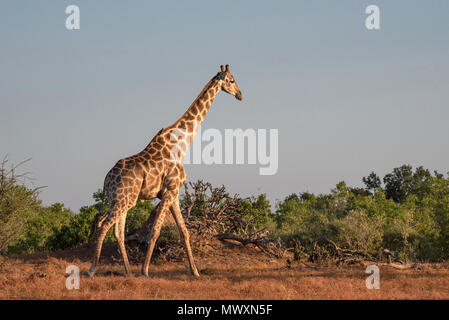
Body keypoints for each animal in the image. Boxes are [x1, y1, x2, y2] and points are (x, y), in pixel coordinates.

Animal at [87, 63, 242, 276]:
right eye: (232, 80)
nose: (240, 95)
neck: (182, 144)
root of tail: (106, 179)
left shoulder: (173, 194)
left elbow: (184, 232)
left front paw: (195, 271)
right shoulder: (169, 191)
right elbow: (155, 231)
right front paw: (145, 271)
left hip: (120, 199)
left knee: (117, 230)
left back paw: (128, 271)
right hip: (124, 200)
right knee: (104, 226)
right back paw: (92, 269)